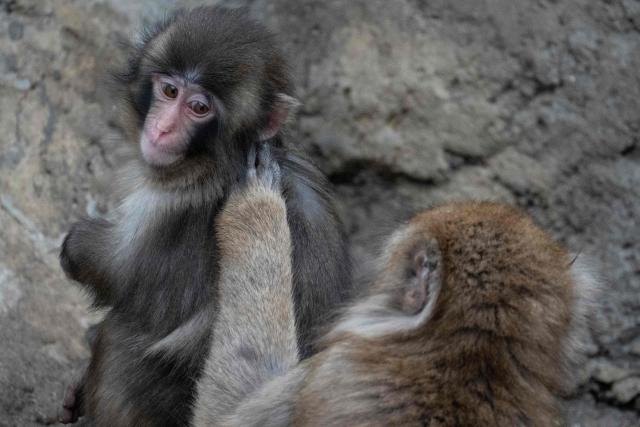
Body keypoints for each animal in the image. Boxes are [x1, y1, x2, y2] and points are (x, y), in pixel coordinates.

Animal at [58, 6, 352, 426]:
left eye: (199, 108)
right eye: (169, 91)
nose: (162, 129)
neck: (219, 159)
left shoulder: (175, 206)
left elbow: (117, 273)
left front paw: (77, 245)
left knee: (119, 336)